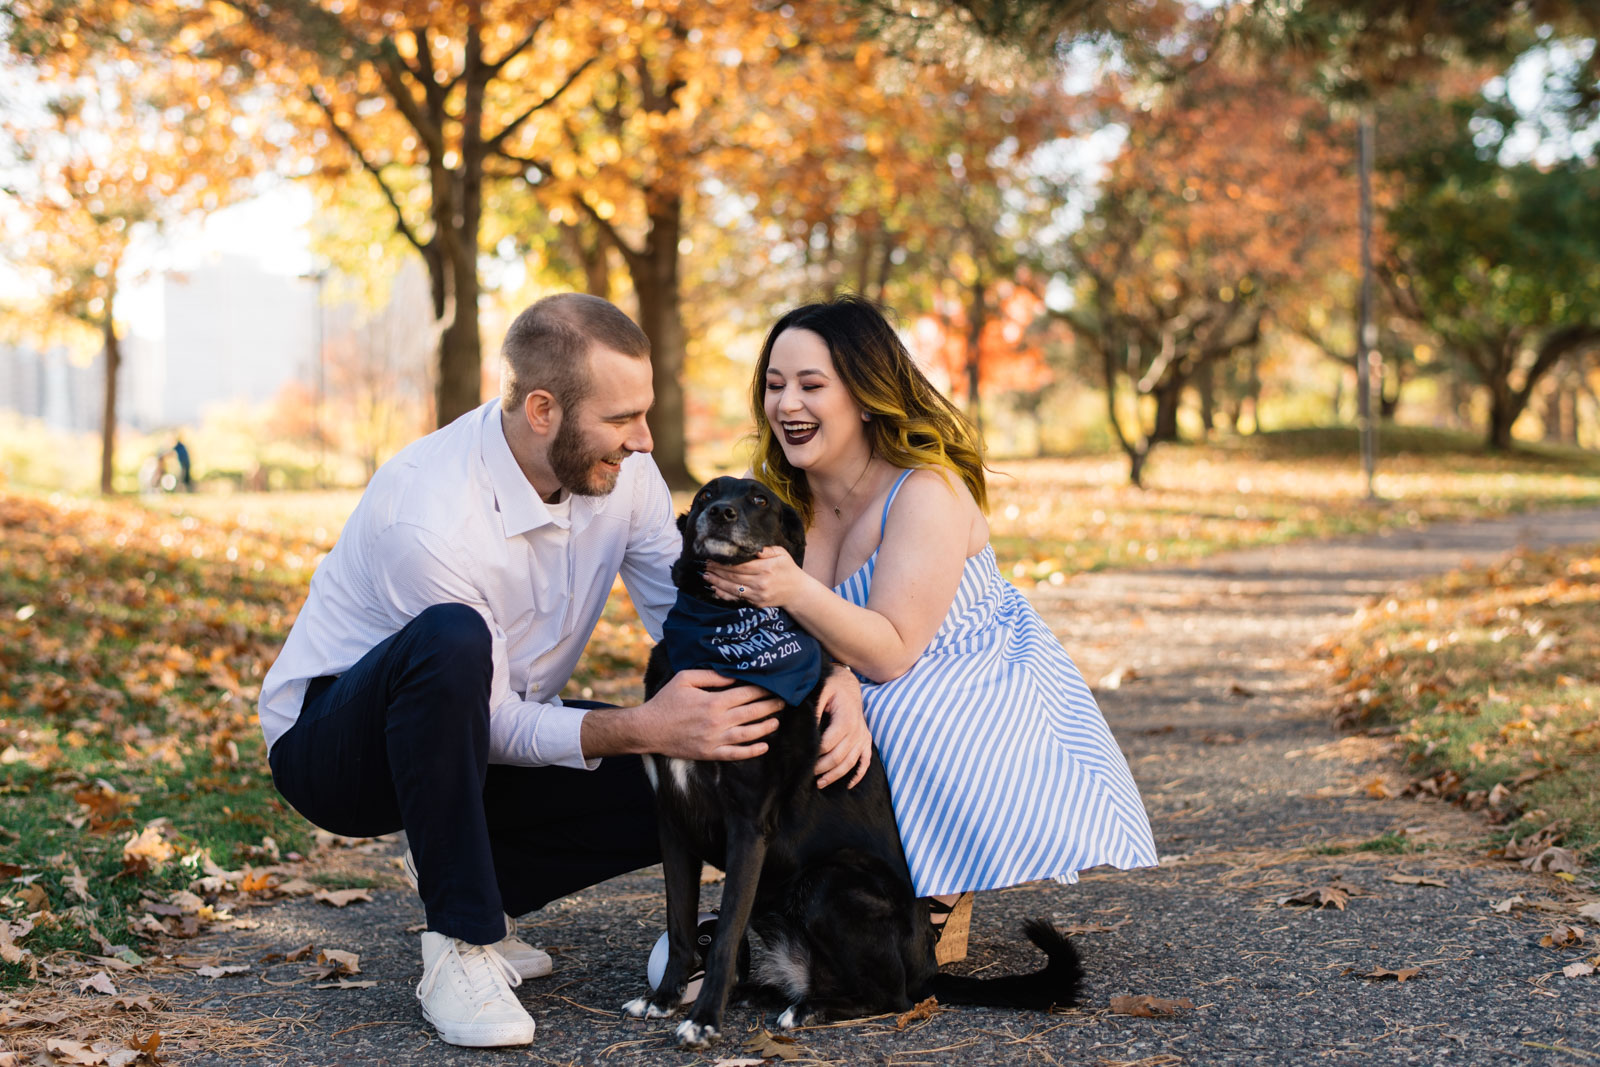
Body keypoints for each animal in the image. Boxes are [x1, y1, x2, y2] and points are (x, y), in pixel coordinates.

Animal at [617, 479, 1081, 1049]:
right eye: (705, 494)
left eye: (759, 500)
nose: (720, 513)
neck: (720, 638)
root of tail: (928, 965)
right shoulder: (674, 822)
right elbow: (682, 925)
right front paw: (662, 999)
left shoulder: (748, 824)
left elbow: (722, 935)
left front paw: (703, 1019)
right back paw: (768, 994)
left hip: (829, 884)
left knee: (892, 997)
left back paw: (807, 1010)